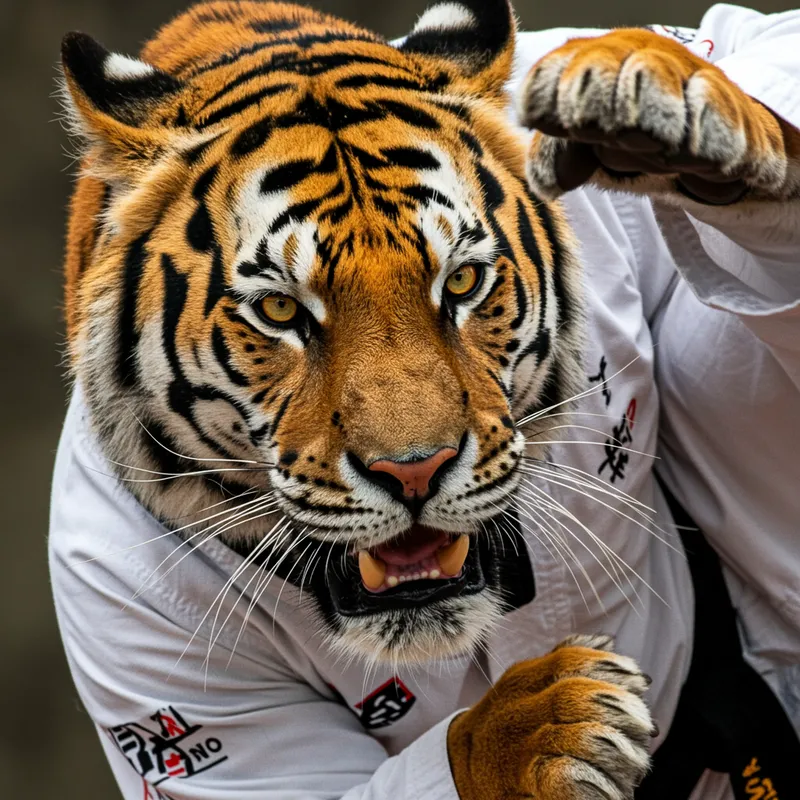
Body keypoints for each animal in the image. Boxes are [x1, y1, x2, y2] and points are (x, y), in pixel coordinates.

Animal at [57, 1, 800, 798]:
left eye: (463, 282)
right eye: (281, 310)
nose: (414, 470)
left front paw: (658, 93)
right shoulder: (141, 643)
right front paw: (545, 726)